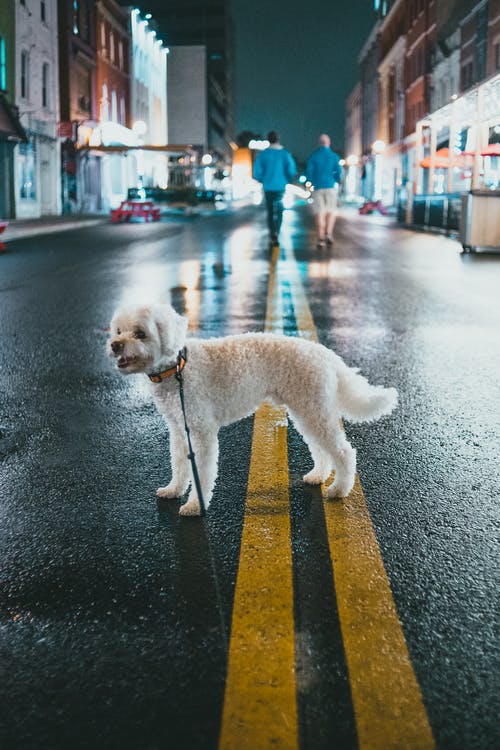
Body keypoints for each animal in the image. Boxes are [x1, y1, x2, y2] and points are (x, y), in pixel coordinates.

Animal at [109, 306, 398, 516]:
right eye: (118, 330)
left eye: (140, 333)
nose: (114, 344)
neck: (178, 368)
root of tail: (326, 354)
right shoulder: (180, 430)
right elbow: (179, 465)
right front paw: (173, 490)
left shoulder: (202, 433)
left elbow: (202, 471)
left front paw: (195, 506)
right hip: (307, 410)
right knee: (321, 448)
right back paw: (318, 476)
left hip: (314, 410)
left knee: (344, 452)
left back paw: (338, 489)